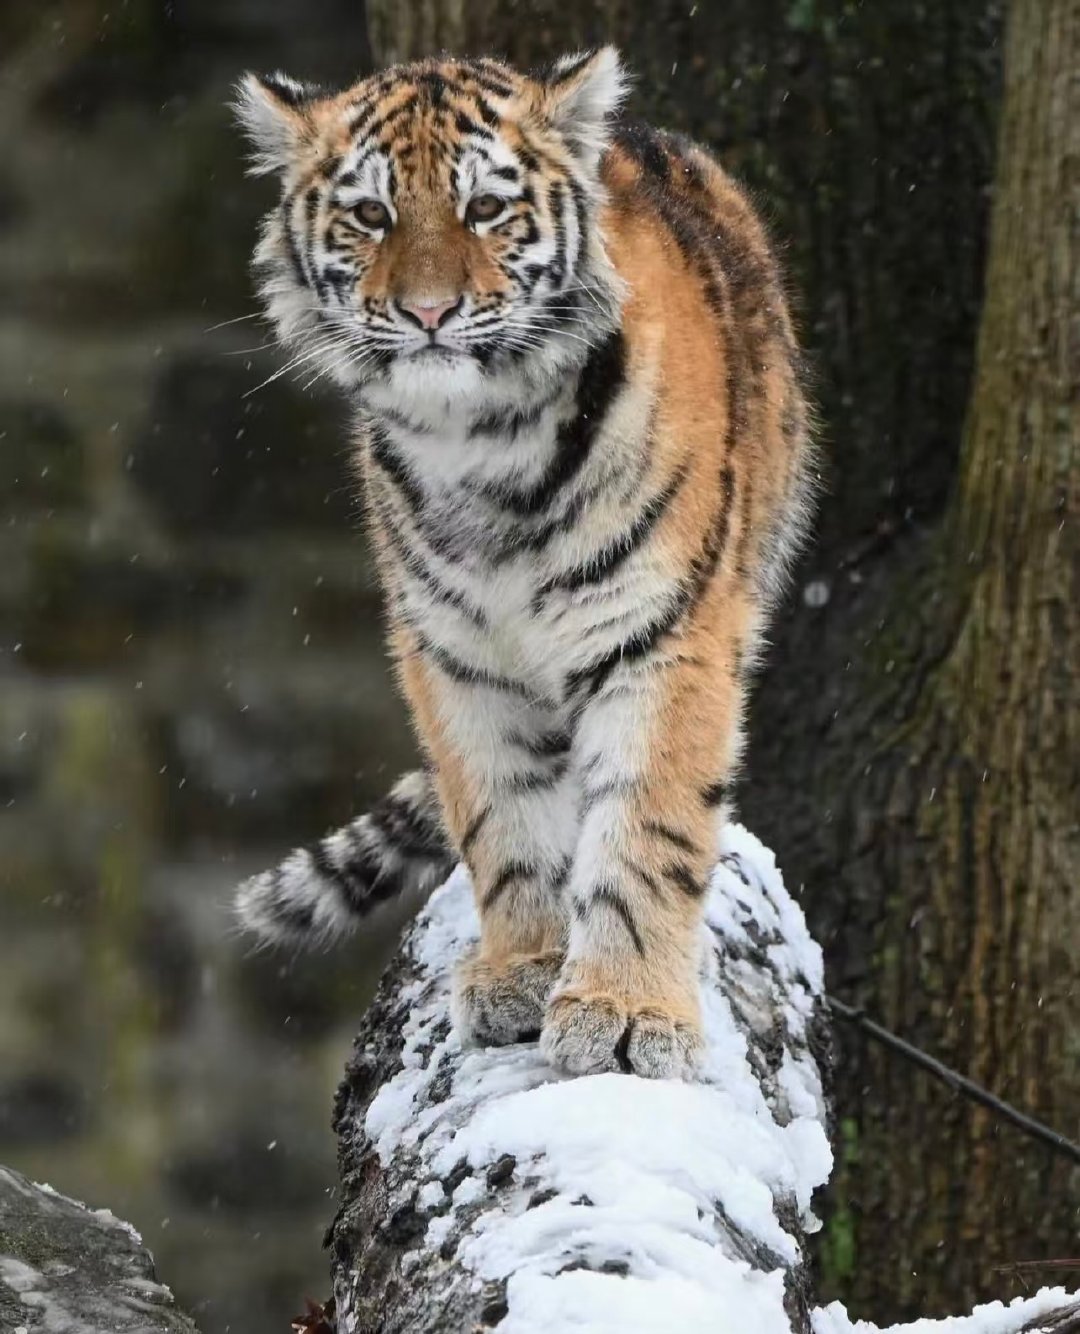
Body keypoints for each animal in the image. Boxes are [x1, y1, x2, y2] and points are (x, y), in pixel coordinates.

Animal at [232, 47, 813, 1079]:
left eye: (486, 208)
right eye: (370, 214)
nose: (428, 312)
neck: (481, 443)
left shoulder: (663, 633)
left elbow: (648, 825)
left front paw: (627, 1011)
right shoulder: (454, 652)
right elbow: (503, 819)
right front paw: (527, 971)